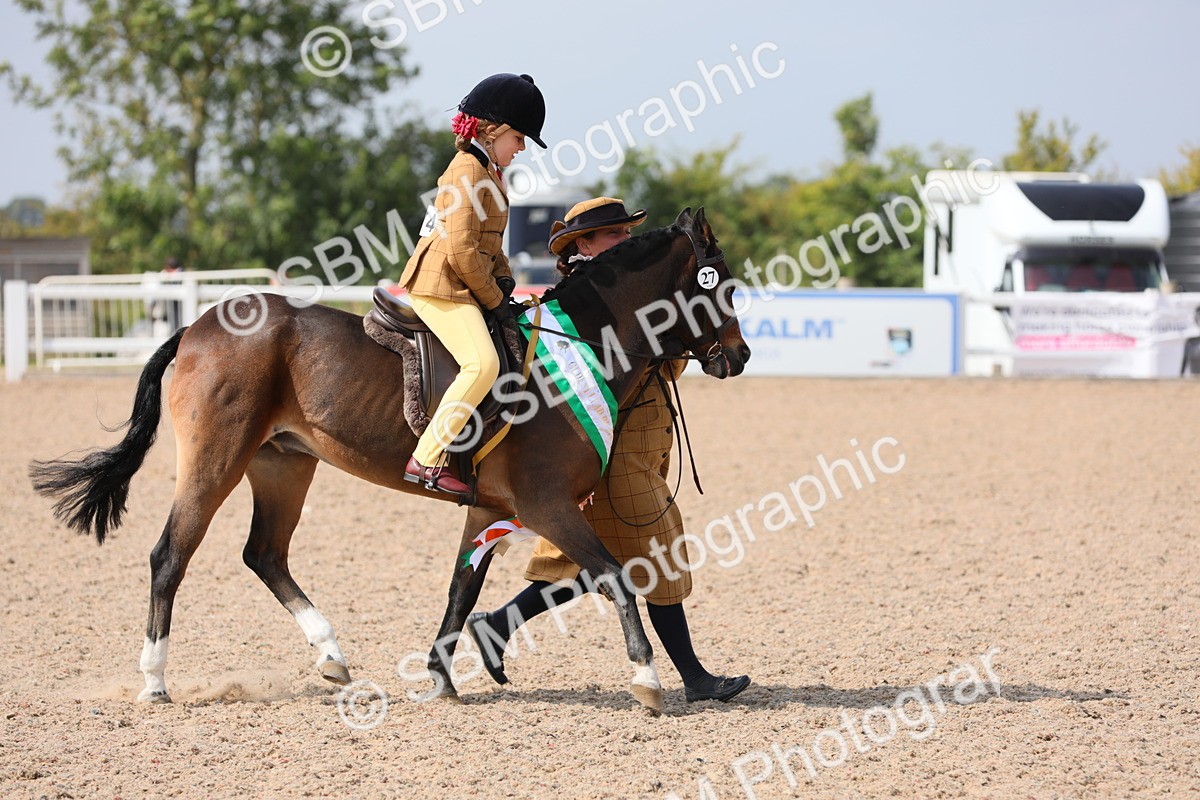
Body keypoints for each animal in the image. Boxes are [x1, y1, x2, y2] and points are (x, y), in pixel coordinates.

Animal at [29, 207, 750, 713]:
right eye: (724, 287)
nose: (738, 357)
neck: (575, 348)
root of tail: (200, 324)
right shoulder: (545, 505)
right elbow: (615, 577)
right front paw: (647, 678)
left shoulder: (492, 508)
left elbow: (463, 592)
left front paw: (441, 678)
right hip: (216, 460)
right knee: (170, 556)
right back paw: (154, 682)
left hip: (283, 465)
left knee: (264, 555)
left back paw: (331, 656)